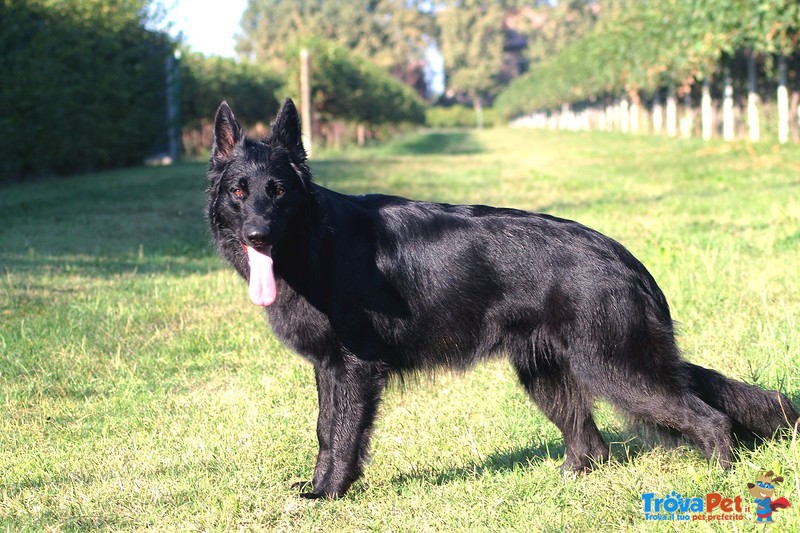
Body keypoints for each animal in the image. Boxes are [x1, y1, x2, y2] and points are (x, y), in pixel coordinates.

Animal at [208, 98, 800, 498]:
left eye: (279, 191)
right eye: (239, 191)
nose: (258, 236)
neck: (316, 239)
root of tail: (623, 256)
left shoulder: (352, 370)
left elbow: (341, 433)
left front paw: (328, 494)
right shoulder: (330, 369)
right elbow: (325, 431)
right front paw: (320, 487)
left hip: (619, 371)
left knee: (709, 419)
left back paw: (721, 484)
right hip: (548, 375)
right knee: (594, 447)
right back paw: (566, 483)